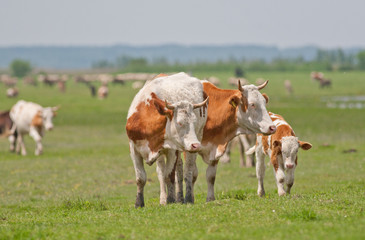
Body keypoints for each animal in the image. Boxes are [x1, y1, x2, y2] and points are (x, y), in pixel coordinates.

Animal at [125, 72, 209, 207]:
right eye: (179, 123)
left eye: (194, 122)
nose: (196, 145)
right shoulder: (134, 149)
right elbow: (141, 178)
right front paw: (139, 203)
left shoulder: (172, 150)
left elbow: (169, 176)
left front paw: (171, 200)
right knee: (172, 172)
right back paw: (173, 198)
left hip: (195, 139)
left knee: (188, 171)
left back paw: (187, 198)